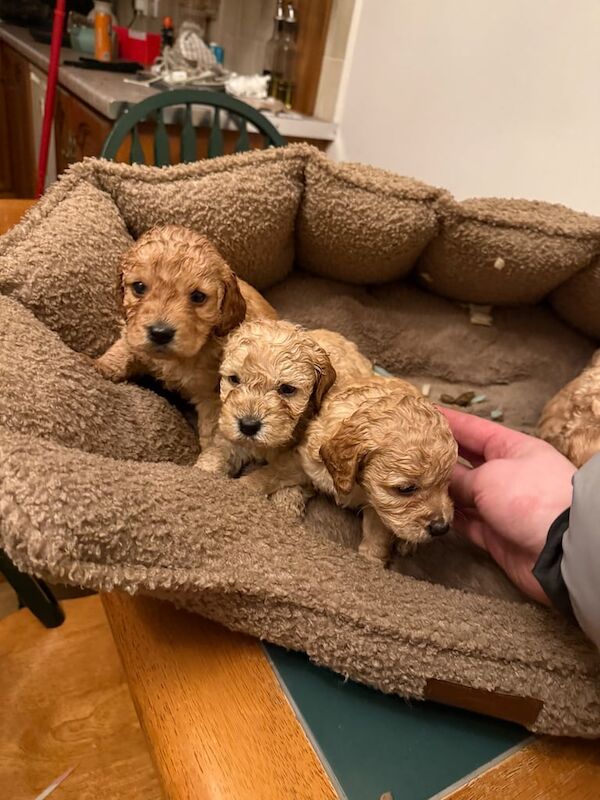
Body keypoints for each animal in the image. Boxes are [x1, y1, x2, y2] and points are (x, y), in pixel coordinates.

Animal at [94, 222, 276, 456]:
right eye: (139, 287)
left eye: (198, 297)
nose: (160, 333)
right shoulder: (133, 335)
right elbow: (125, 346)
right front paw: (101, 366)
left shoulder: (210, 393)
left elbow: (212, 427)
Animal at [300, 376, 460, 560]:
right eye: (406, 489)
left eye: (446, 484)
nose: (441, 528)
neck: (357, 485)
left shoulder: (378, 506)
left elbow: (377, 533)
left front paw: (370, 559)